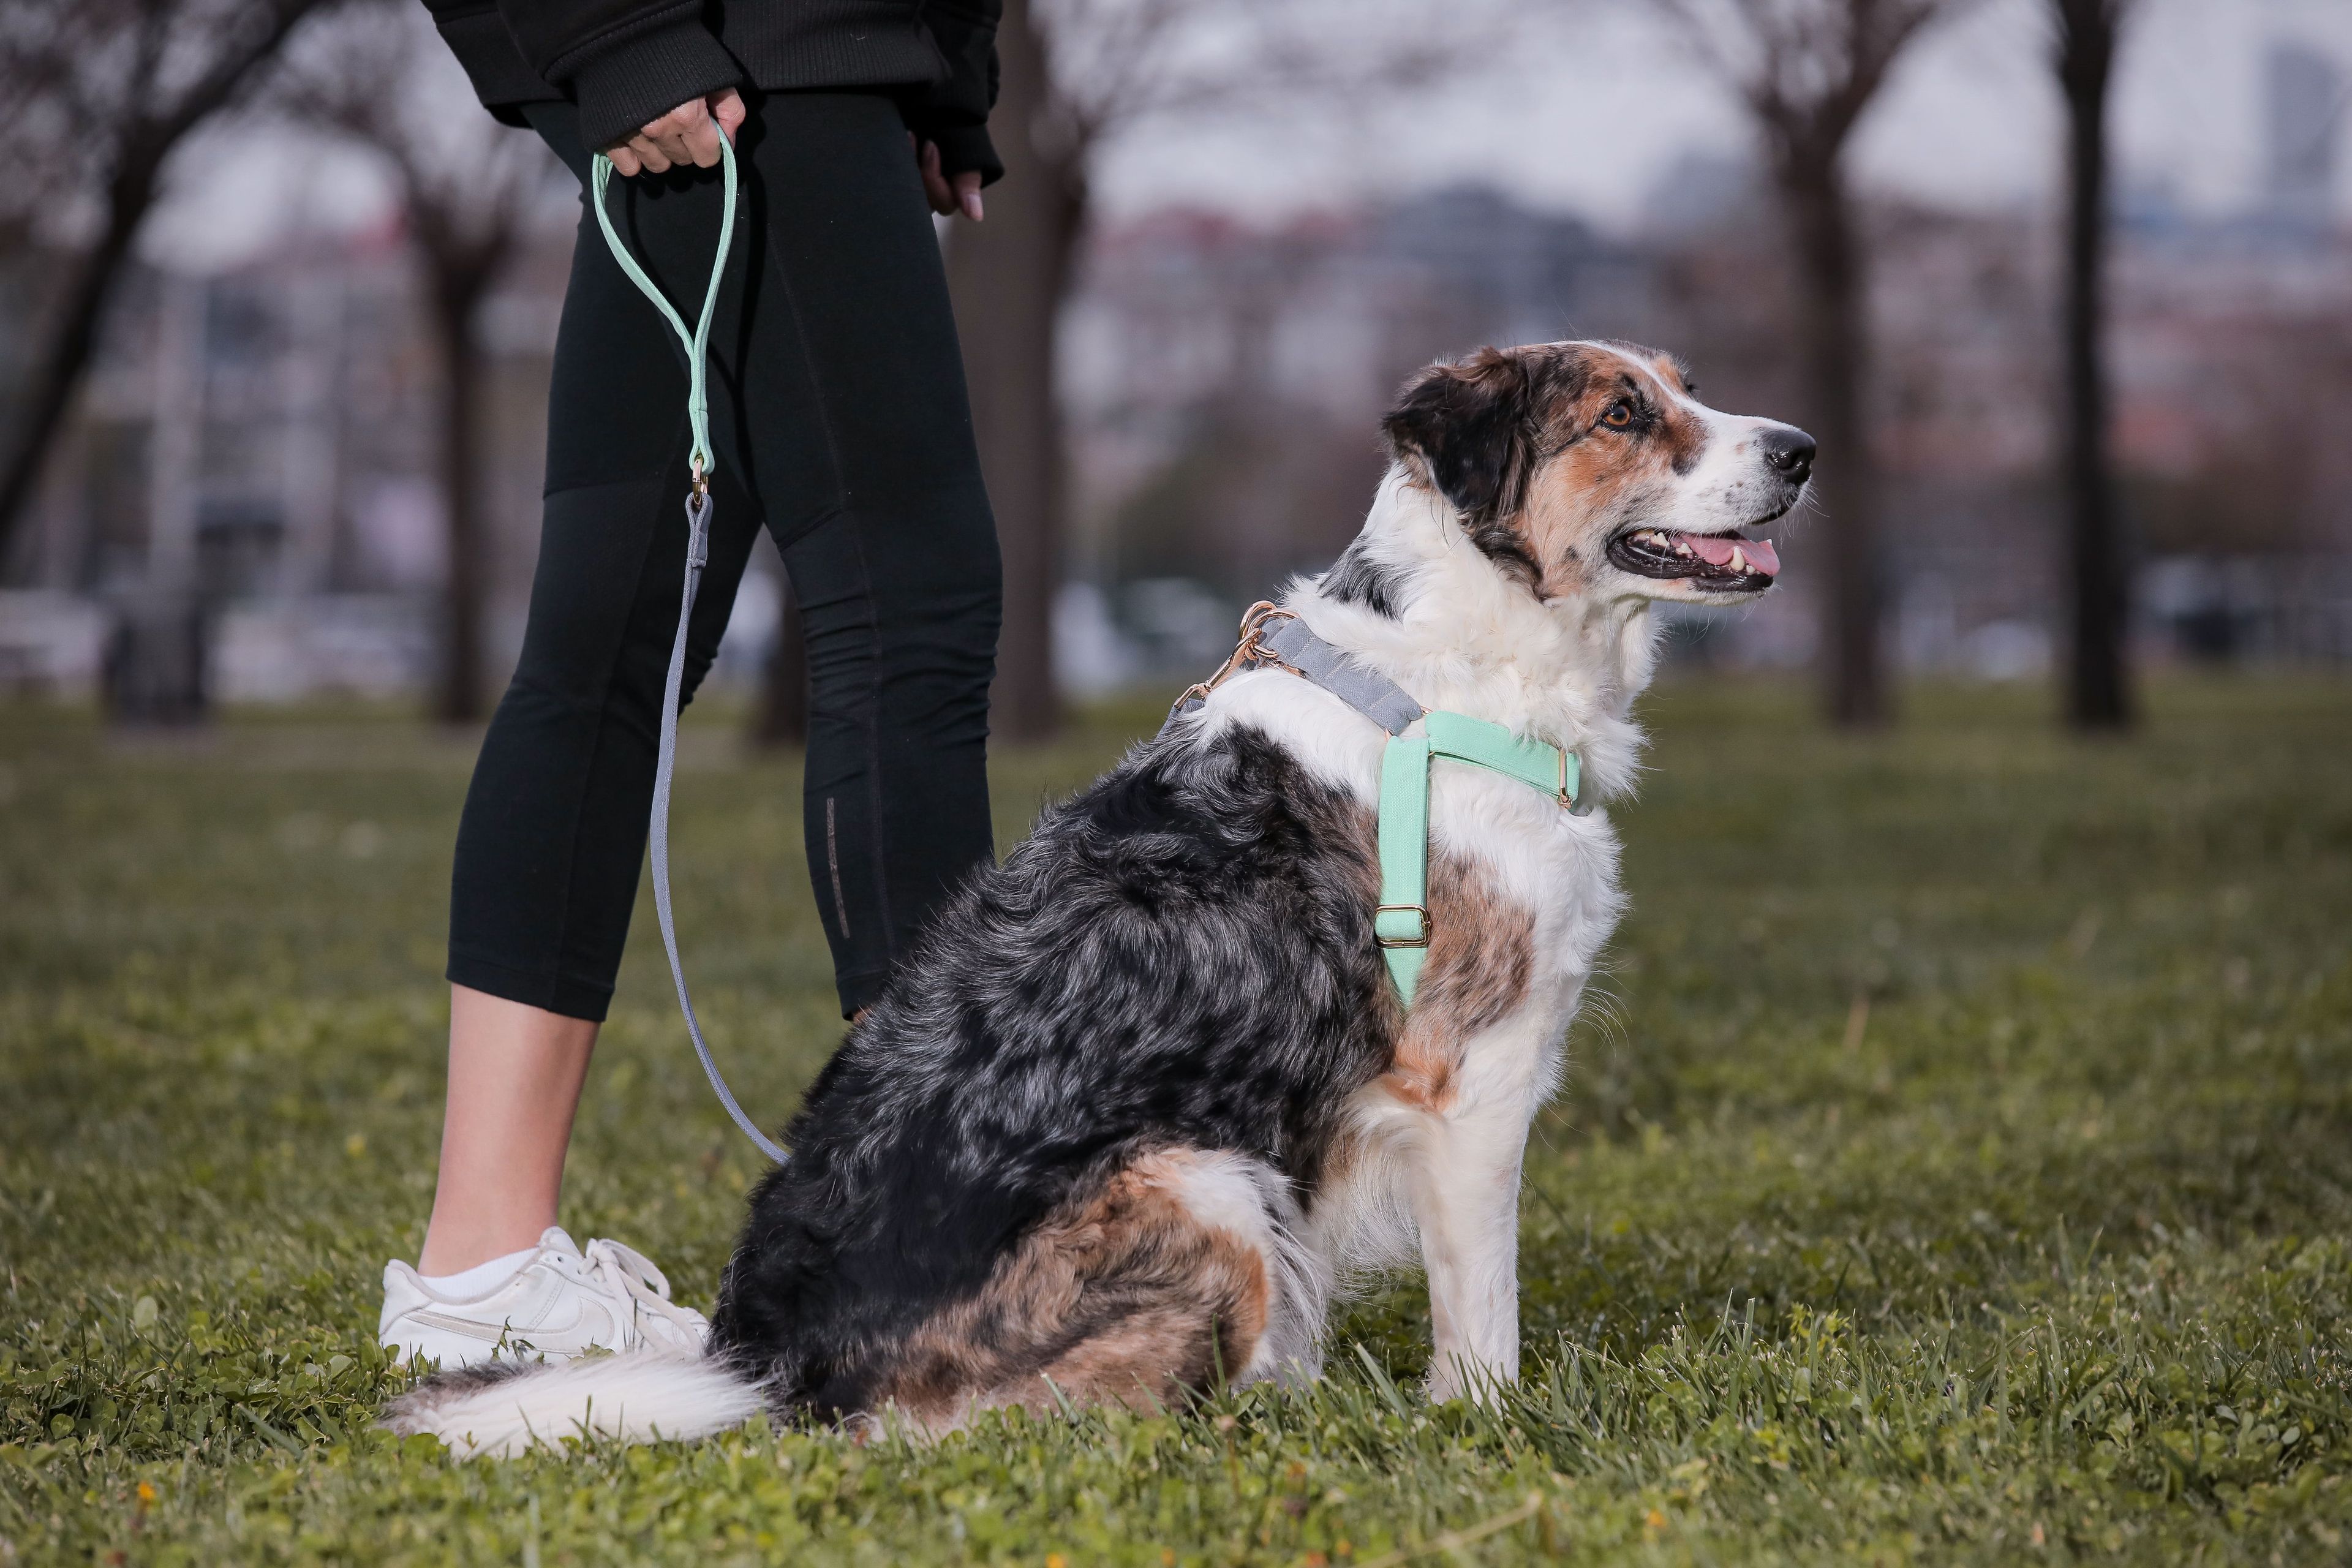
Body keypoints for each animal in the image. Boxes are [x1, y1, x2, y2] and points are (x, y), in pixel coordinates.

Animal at [390, 341, 1815, 1457]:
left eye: (1690, 387)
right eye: (1622, 413)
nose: (1803, 448)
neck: (1461, 676)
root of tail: (775, 1364)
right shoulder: (1474, 1084)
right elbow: (1483, 1311)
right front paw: (1486, 1424)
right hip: (1205, 1176)